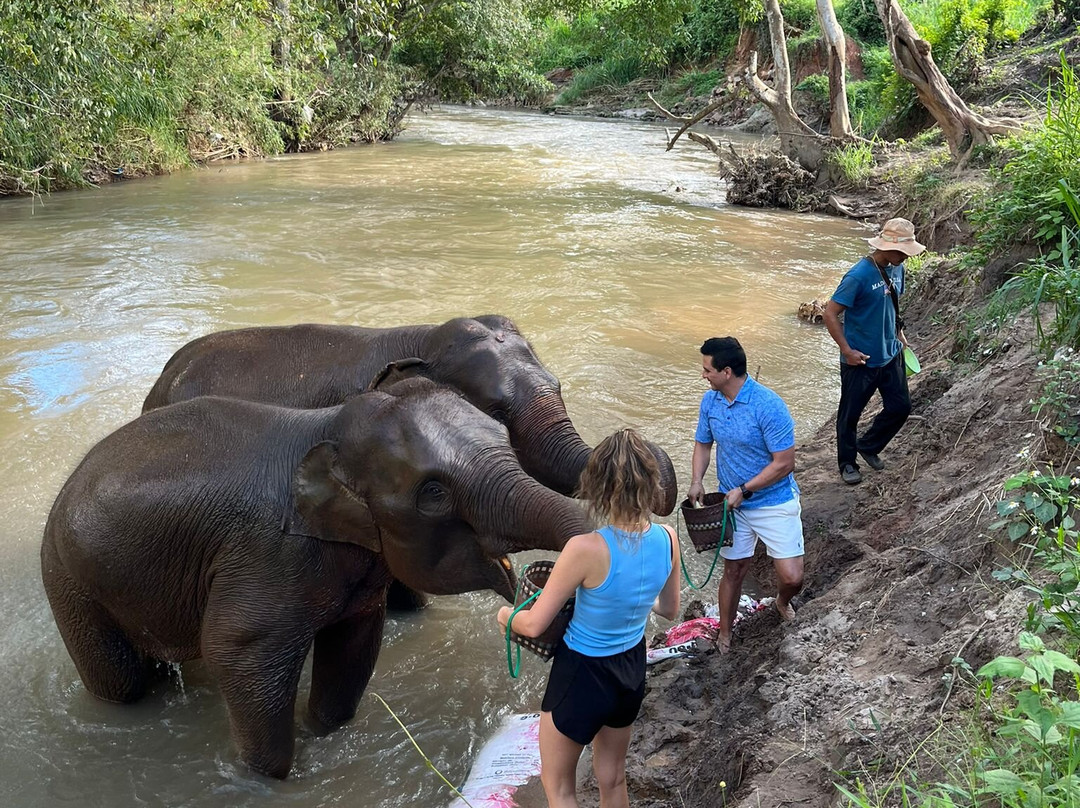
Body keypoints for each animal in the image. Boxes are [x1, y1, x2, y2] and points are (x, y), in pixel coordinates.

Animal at [41, 378, 587, 779]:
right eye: (433, 493)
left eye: (507, 442)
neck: (329, 427)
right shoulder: (266, 553)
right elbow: (236, 650)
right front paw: (265, 777)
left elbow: (354, 643)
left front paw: (326, 731)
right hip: (68, 581)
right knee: (121, 684)